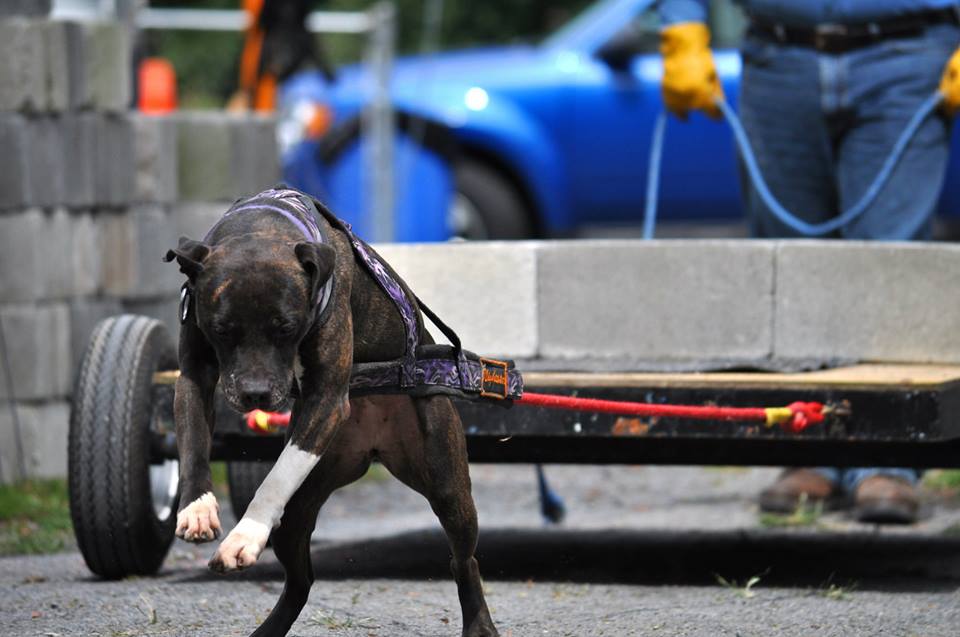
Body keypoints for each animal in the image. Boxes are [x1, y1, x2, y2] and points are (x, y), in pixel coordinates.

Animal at [164, 195, 498, 636]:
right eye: (222, 329)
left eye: (286, 327)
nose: (255, 393)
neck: (261, 227)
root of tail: (374, 441)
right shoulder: (194, 374)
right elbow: (192, 442)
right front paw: (197, 508)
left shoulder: (325, 400)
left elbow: (276, 477)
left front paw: (245, 537)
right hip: (301, 505)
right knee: (301, 579)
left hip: (447, 485)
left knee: (465, 561)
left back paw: (480, 625)